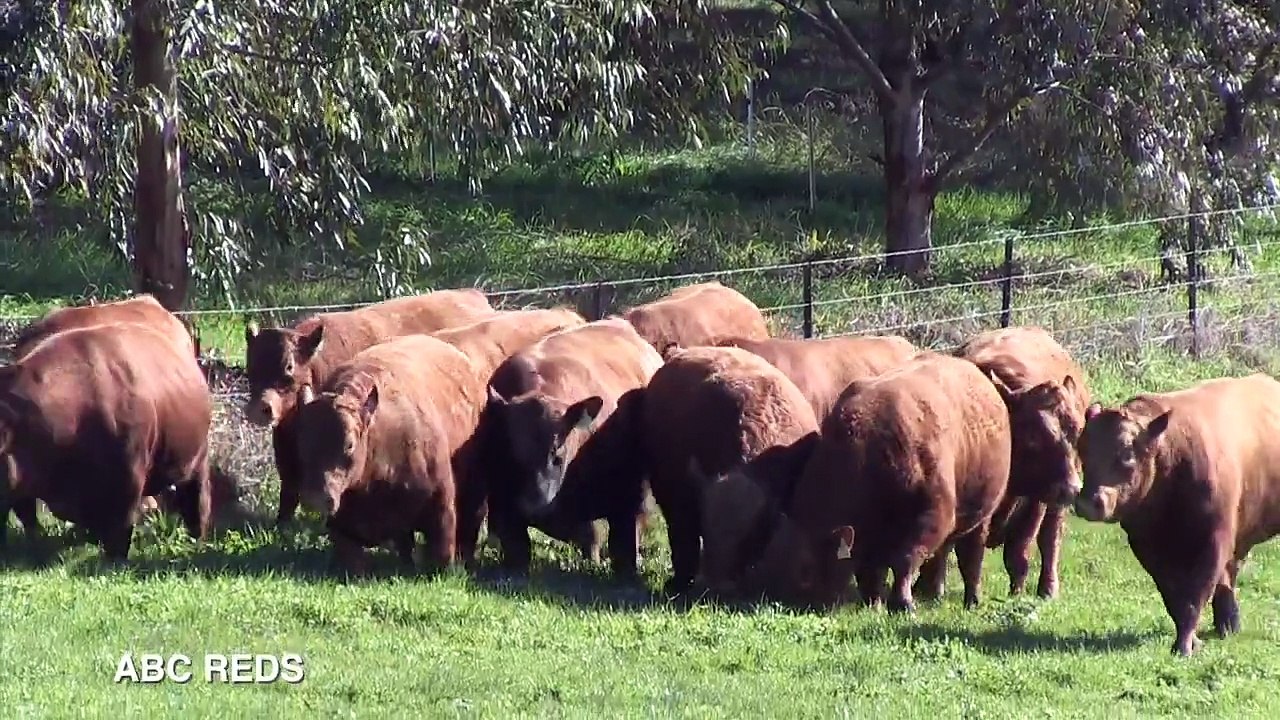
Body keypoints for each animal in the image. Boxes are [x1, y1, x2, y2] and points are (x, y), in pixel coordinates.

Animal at [483, 318, 664, 577]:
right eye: (513, 454)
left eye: (557, 455)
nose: (534, 505)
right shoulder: (504, 507)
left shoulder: (630, 499)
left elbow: (621, 548)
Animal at [697, 352, 1012, 610]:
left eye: (807, 570)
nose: (820, 603)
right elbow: (871, 568)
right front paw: (875, 603)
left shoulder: (933, 516)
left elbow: (906, 558)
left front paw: (902, 603)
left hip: (980, 519)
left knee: (970, 556)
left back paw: (972, 599)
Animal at [923, 326, 1090, 601]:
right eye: (1034, 437)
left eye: (1077, 433)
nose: (1072, 489)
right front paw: (930, 589)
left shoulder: (1035, 501)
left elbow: (1018, 552)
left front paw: (1017, 592)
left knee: (1050, 539)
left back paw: (1048, 588)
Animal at [1075, 373, 1280, 656]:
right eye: (1082, 448)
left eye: (1127, 455)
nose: (1087, 503)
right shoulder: (1148, 547)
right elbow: (1174, 598)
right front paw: (1191, 640)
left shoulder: (1214, 542)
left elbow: (1195, 597)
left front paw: (1184, 646)